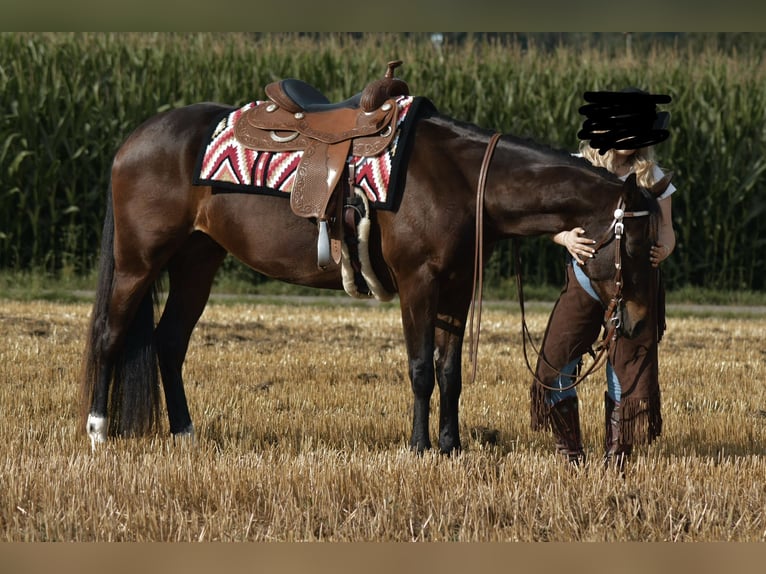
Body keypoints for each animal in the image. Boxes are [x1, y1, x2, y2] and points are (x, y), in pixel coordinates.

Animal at [80, 89, 672, 455]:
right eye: (635, 245)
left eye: (655, 245)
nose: (642, 323)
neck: (458, 180)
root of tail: (135, 139)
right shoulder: (419, 283)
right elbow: (421, 369)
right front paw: (419, 446)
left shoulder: (457, 288)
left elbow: (450, 372)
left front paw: (452, 446)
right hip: (138, 261)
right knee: (111, 335)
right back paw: (98, 432)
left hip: (196, 261)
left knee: (168, 342)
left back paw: (185, 434)